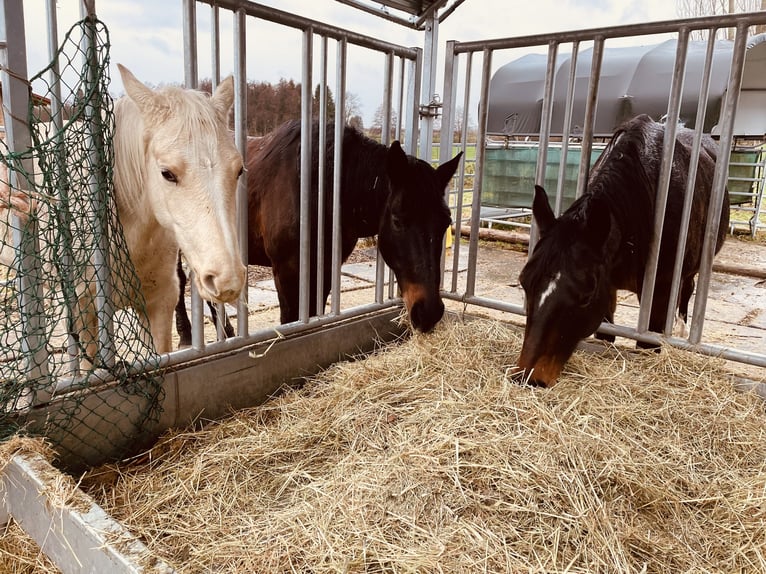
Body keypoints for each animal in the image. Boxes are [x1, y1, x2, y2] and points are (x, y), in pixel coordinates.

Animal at [176, 121, 462, 346]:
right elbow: (291, 320)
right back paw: (187, 336)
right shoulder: (287, 272)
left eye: (445, 221)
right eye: (397, 220)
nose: (429, 312)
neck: (318, 185)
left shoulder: (323, 267)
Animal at [520, 113, 728, 388]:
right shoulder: (607, 288)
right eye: (524, 282)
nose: (530, 378)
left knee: (687, 289)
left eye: (586, 296)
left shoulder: (658, 292)